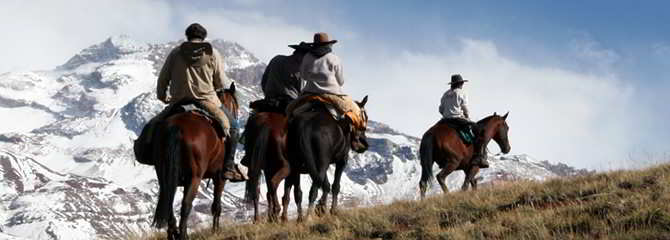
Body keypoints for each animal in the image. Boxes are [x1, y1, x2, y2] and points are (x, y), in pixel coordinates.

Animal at [151, 83, 240, 240]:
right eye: (236, 105)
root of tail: (176, 126)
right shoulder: (220, 177)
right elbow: (216, 206)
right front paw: (215, 231)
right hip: (195, 177)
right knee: (186, 205)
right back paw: (183, 235)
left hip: (164, 175)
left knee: (168, 202)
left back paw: (173, 233)